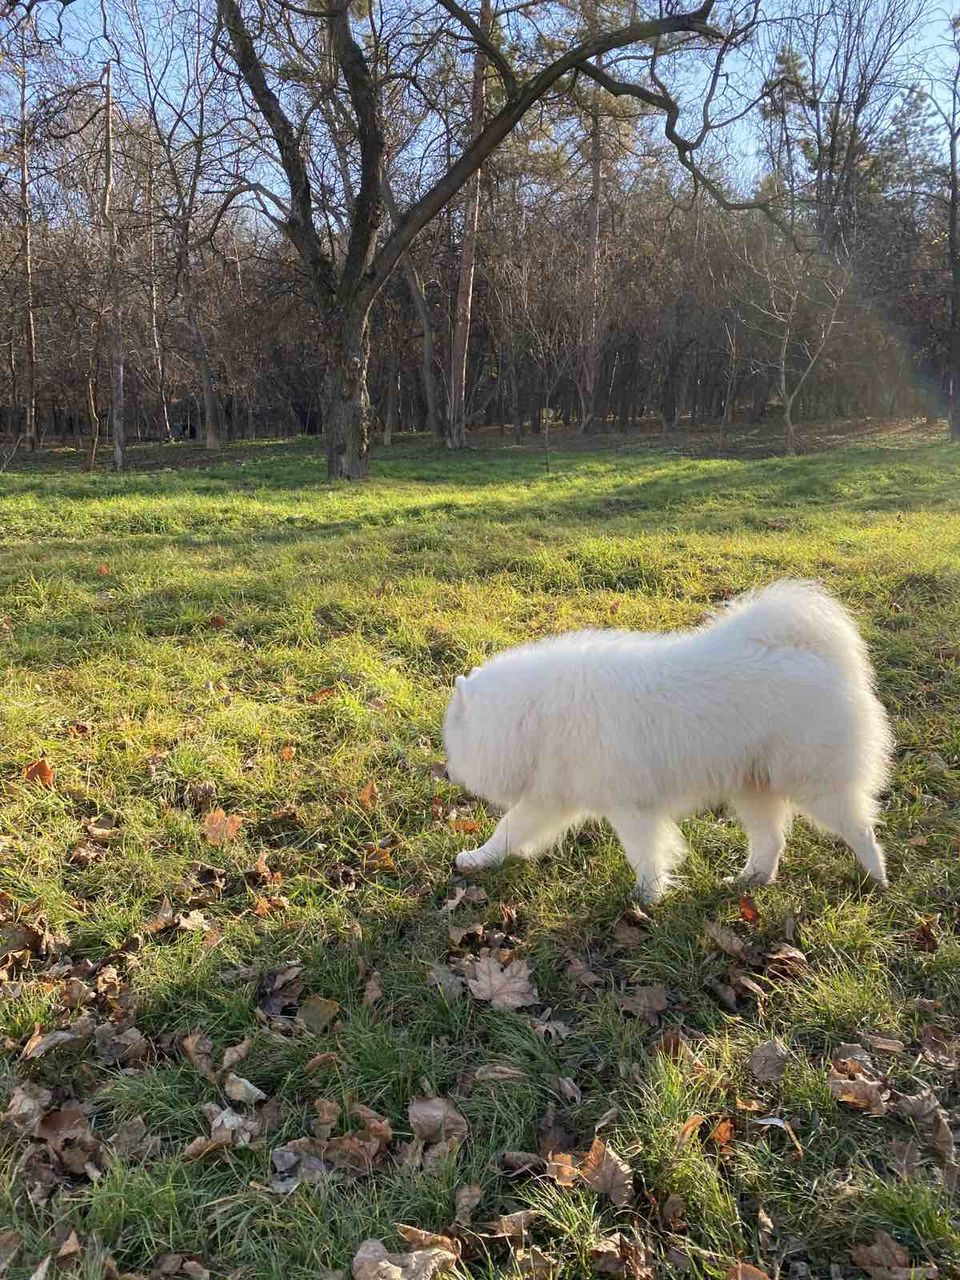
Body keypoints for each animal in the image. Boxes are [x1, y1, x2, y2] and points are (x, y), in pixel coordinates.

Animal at [442, 581, 896, 901]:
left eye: (452, 743)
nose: (445, 773)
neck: (537, 715)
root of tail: (810, 655)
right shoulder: (549, 797)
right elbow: (508, 829)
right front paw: (477, 859)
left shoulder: (631, 807)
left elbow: (643, 853)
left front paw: (646, 897)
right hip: (753, 786)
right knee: (771, 841)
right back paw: (748, 880)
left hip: (816, 783)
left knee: (860, 829)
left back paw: (877, 878)